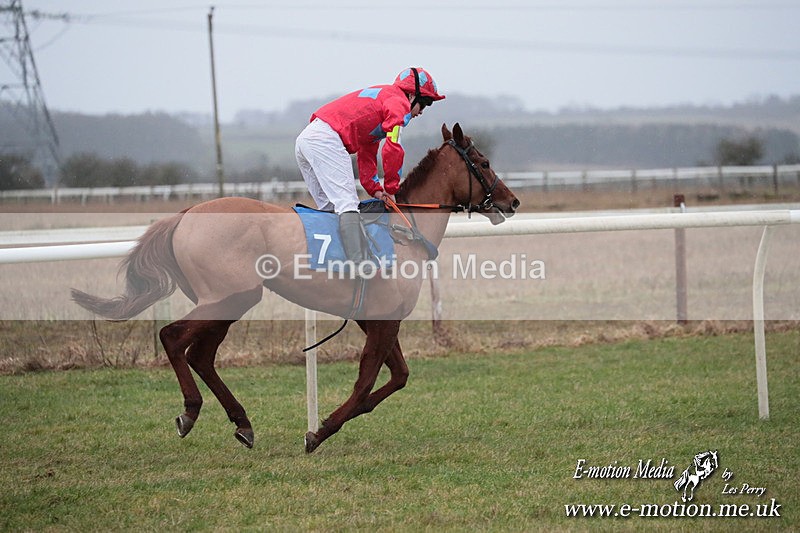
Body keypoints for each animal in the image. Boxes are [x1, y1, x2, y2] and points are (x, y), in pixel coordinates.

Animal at [71, 123, 519, 453]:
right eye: (483, 162)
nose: (512, 201)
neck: (403, 231)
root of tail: (184, 213)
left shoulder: (374, 320)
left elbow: (398, 377)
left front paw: (337, 419)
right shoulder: (382, 321)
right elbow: (367, 381)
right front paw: (320, 430)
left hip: (230, 301)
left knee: (200, 355)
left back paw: (242, 423)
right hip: (230, 296)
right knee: (172, 337)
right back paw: (191, 412)